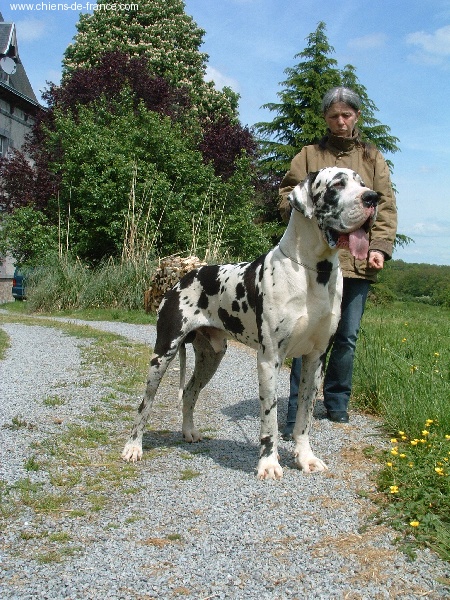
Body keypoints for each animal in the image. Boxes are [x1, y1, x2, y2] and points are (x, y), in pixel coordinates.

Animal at [121, 166, 378, 480]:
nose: (373, 197)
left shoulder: (315, 359)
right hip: (163, 353)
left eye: (362, 183)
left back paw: (189, 432)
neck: (313, 272)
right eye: (337, 185)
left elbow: (304, 418)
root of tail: (184, 276)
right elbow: (270, 419)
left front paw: (306, 457)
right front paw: (268, 463)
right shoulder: (270, 359)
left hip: (211, 356)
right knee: (145, 404)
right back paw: (133, 447)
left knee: (190, 392)